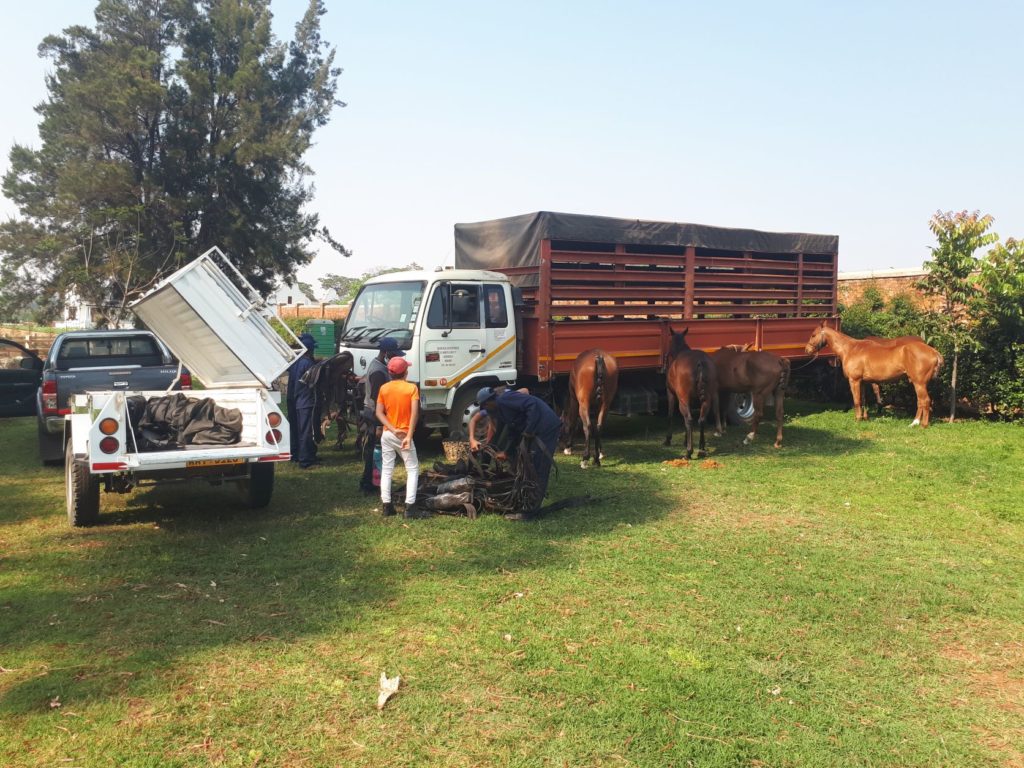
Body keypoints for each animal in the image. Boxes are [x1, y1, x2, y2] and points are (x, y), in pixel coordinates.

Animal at [663, 329, 720, 460]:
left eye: (669, 341)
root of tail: (700, 362)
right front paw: (686, 441)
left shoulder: (671, 394)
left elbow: (670, 415)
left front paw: (668, 439)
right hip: (707, 400)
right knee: (701, 420)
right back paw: (701, 449)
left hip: (684, 400)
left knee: (689, 419)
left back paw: (689, 452)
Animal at [798, 325, 942, 428]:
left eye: (813, 335)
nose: (807, 350)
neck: (851, 349)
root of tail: (934, 352)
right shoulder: (863, 382)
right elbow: (863, 400)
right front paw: (864, 418)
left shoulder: (854, 381)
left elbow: (856, 400)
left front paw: (857, 419)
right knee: (921, 402)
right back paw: (915, 423)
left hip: (919, 383)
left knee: (924, 401)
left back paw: (921, 424)